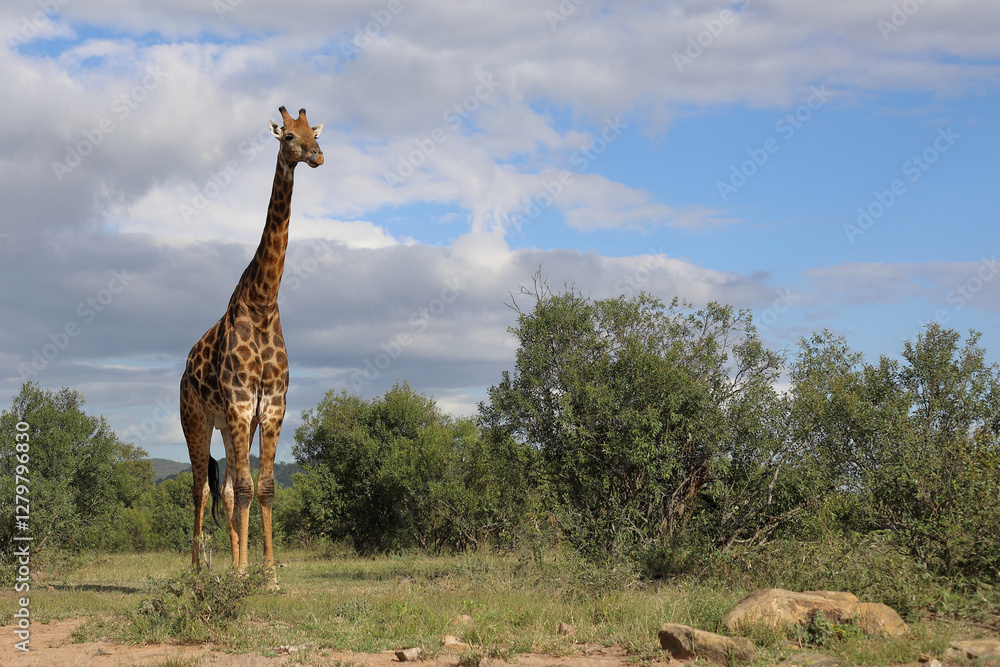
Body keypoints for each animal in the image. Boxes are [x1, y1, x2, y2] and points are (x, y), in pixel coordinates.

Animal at [180, 106, 323, 588]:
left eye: (314, 133)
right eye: (289, 137)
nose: (317, 156)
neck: (263, 302)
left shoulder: (272, 406)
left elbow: (263, 488)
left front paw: (268, 574)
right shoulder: (242, 403)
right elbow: (244, 487)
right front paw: (244, 573)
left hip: (226, 424)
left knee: (224, 487)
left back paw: (227, 567)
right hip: (198, 419)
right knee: (200, 488)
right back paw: (198, 572)